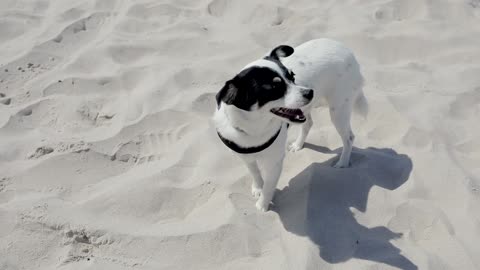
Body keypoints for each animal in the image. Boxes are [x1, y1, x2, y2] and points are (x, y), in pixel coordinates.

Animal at [214, 38, 368, 211]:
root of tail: (346, 49)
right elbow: (255, 172)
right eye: (274, 88)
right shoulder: (245, 157)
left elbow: (269, 186)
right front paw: (258, 188)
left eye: (293, 77)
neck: (254, 129)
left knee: (349, 137)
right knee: (308, 123)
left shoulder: (274, 162)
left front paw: (262, 206)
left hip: (339, 110)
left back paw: (343, 163)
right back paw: (298, 145)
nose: (310, 92)